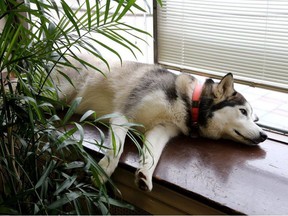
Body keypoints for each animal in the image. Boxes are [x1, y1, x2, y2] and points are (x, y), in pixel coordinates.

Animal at [54, 54, 268, 191]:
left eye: (253, 117)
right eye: (243, 111)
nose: (264, 135)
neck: (190, 102)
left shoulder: (161, 129)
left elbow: (153, 154)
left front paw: (145, 175)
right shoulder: (124, 116)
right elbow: (116, 148)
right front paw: (104, 170)